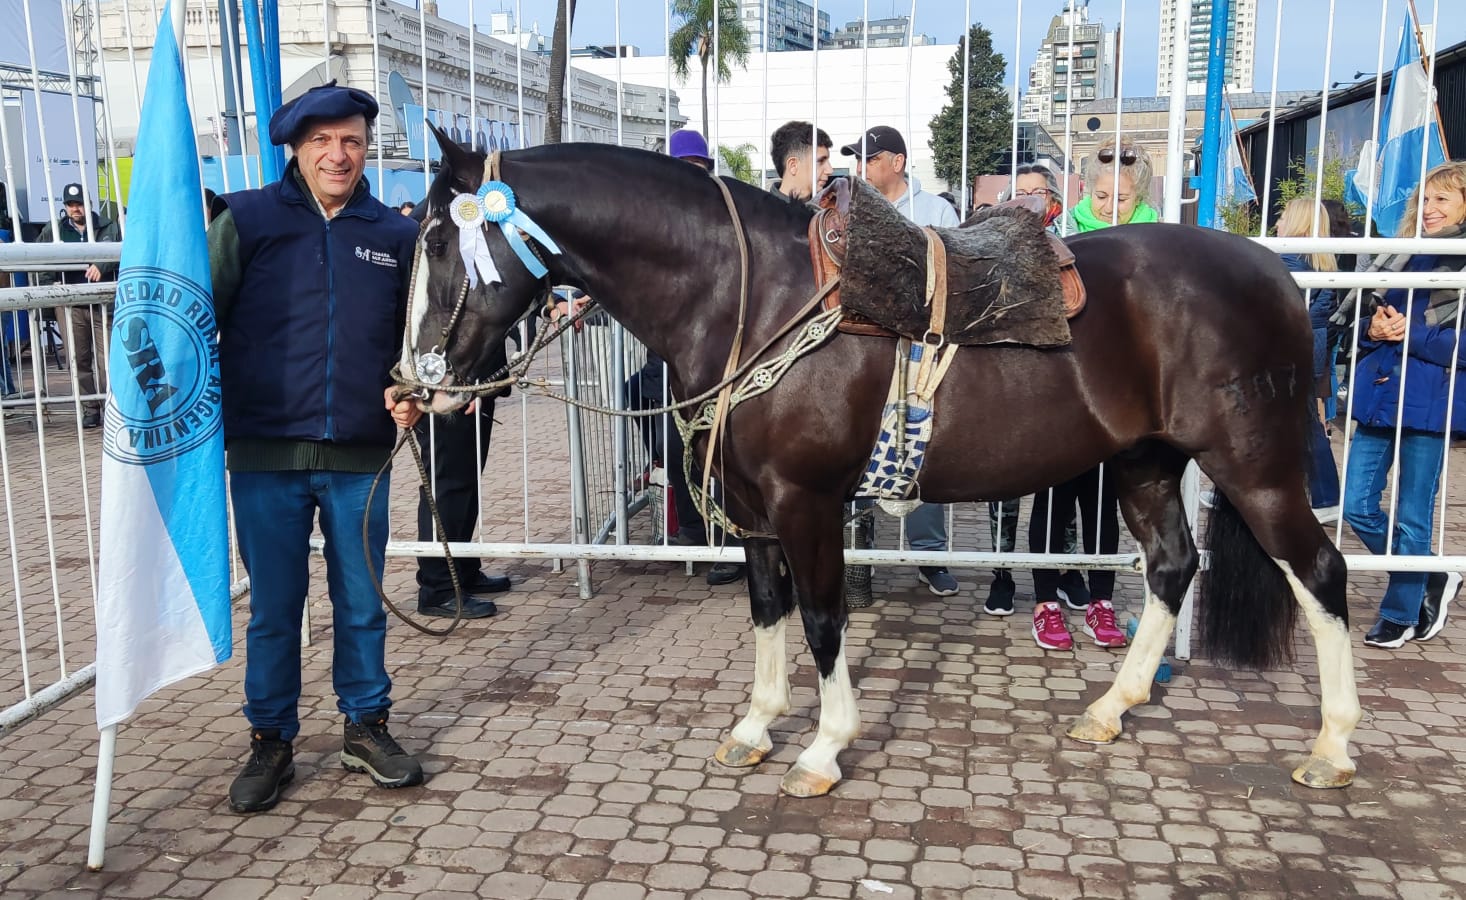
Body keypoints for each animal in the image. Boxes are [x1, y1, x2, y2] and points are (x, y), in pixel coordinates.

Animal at [401, 131, 1360, 797]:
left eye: (444, 243)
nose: (423, 380)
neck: (756, 296)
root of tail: (1274, 271)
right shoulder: (754, 512)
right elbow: (767, 611)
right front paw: (756, 727)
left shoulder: (807, 502)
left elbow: (824, 621)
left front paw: (824, 748)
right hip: (1144, 464)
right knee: (1171, 567)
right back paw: (1110, 709)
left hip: (1254, 467)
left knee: (1320, 572)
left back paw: (1333, 745)